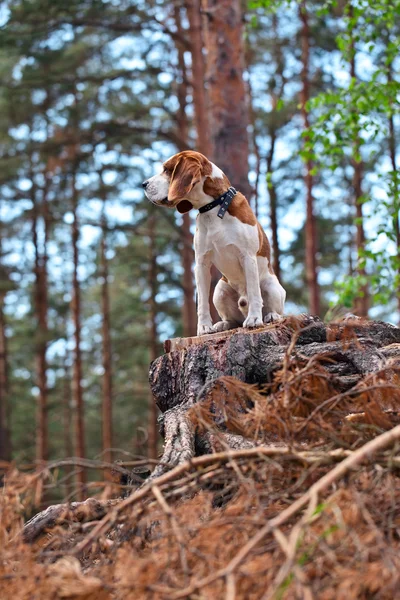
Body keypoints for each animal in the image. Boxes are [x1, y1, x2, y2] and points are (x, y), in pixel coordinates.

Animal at [142, 150, 286, 338]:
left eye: (167, 170)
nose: (143, 184)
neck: (214, 207)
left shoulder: (248, 257)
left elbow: (255, 293)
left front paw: (255, 319)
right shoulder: (201, 263)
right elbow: (202, 302)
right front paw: (204, 328)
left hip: (271, 286)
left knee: (273, 308)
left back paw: (270, 316)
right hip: (220, 290)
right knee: (233, 321)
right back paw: (223, 324)